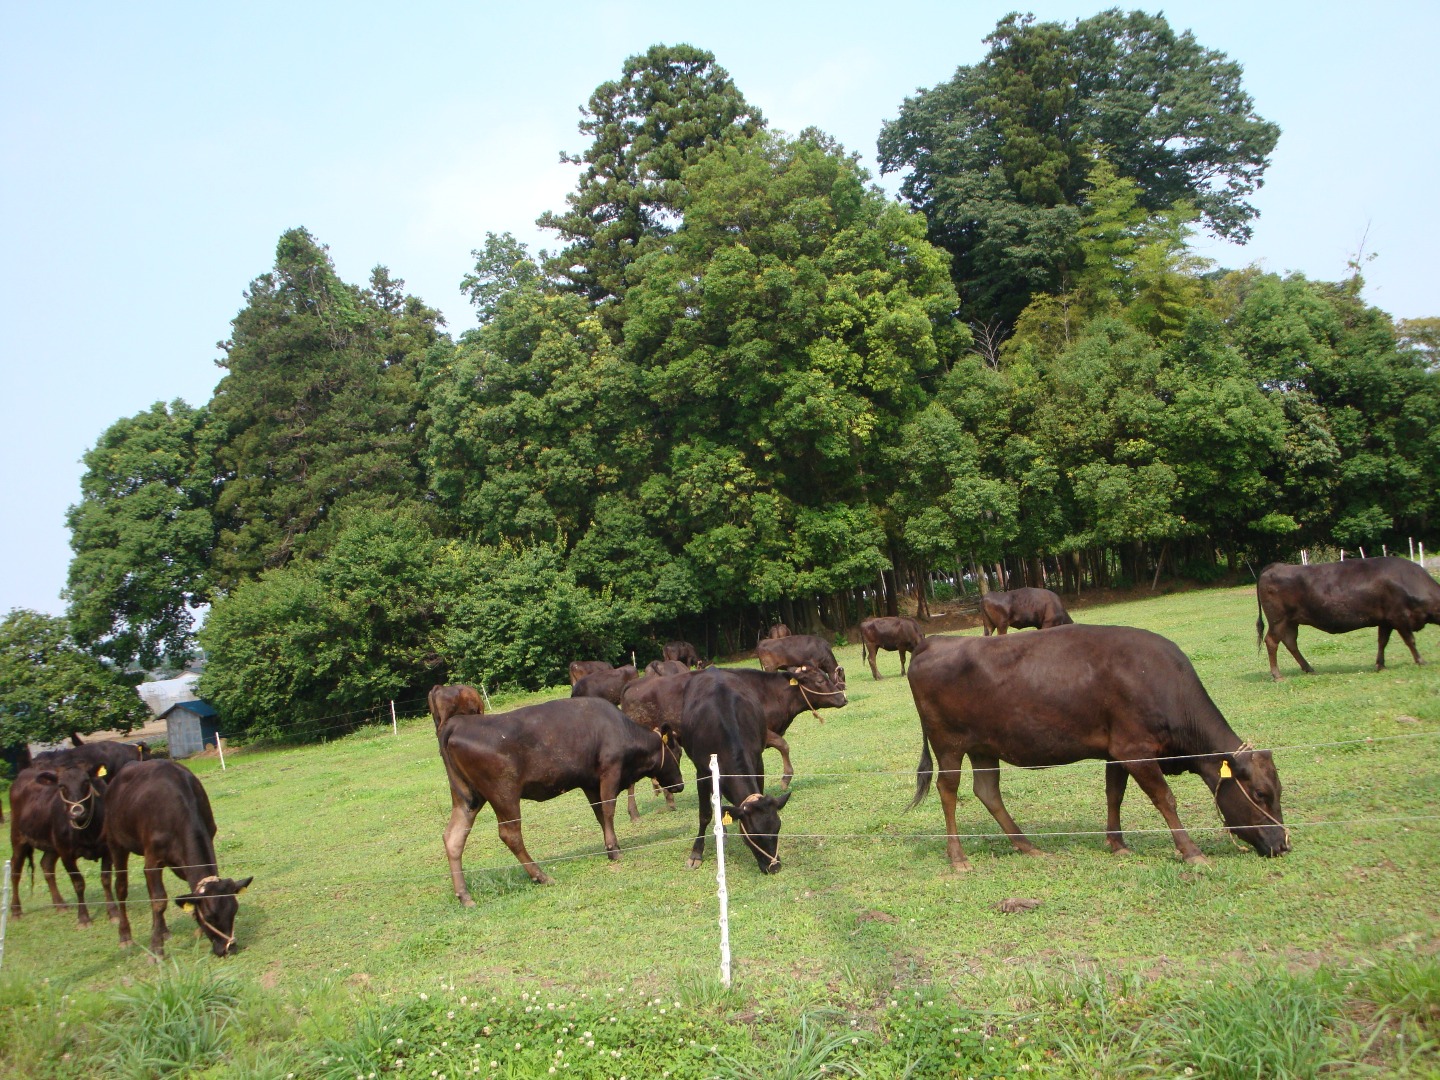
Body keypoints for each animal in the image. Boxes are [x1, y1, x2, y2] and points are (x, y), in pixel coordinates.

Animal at [9, 760, 115, 933]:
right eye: (61, 786)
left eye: (86, 782)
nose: (77, 812)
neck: (87, 831)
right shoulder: (66, 854)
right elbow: (78, 883)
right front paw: (83, 918)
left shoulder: (107, 849)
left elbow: (106, 879)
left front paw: (113, 913)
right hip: (18, 837)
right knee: (15, 871)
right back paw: (16, 911)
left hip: (52, 845)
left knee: (46, 865)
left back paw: (60, 904)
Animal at [434, 696, 682, 898]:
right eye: (677, 752)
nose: (680, 784)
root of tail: (458, 724)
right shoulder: (610, 771)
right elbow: (609, 809)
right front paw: (614, 851)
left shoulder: (590, 782)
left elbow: (600, 814)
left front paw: (612, 846)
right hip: (503, 793)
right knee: (510, 835)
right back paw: (541, 876)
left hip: (468, 798)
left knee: (454, 837)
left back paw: (464, 896)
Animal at [676, 673, 794, 875]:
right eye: (754, 834)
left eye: (777, 828)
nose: (775, 866)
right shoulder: (702, 771)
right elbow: (705, 814)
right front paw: (696, 854)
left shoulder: (758, 761)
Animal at [904, 630, 1290, 875]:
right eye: (1260, 794)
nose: (1283, 845)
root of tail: (934, 641)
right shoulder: (1135, 749)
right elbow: (1165, 799)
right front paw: (1192, 852)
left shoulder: (1116, 751)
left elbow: (1114, 794)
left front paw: (1117, 844)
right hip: (949, 744)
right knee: (948, 791)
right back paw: (958, 857)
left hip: (984, 746)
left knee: (987, 790)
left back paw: (1028, 846)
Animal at [1255, 561, 1440, 679]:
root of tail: (1278, 565)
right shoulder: (1399, 617)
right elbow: (1411, 641)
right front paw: (1421, 661)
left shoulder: (1385, 620)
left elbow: (1382, 641)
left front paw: (1380, 665)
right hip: (1278, 620)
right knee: (1272, 641)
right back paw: (1277, 675)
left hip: (1291, 621)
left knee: (1290, 642)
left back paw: (1309, 669)